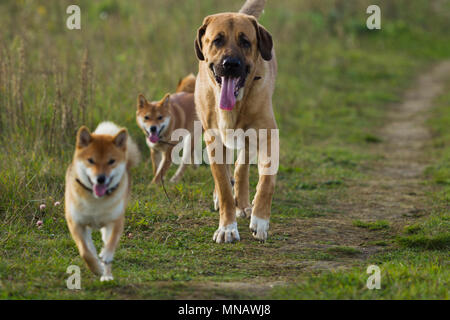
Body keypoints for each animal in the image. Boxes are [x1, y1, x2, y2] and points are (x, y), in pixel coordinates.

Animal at [64, 121, 140, 282]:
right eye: (91, 160)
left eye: (111, 161)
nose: (101, 178)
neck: (96, 201)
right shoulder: (76, 223)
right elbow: (85, 252)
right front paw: (96, 268)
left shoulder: (116, 221)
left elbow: (110, 245)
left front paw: (106, 258)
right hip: (86, 228)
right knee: (89, 247)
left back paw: (107, 275)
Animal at [193, 0, 278, 241]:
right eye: (217, 40)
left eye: (245, 41)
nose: (230, 63)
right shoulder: (213, 140)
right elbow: (223, 186)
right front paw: (227, 228)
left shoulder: (267, 135)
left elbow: (266, 180)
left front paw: (260, 220)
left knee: (241, 166)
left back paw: (244, 204)